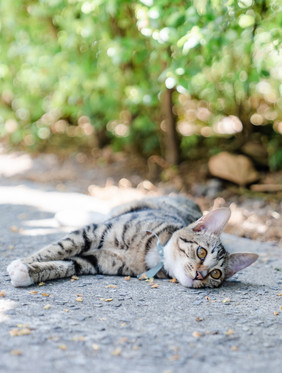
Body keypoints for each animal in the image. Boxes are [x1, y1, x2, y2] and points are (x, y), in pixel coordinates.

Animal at [6, 195, 258, 288]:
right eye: (201, 252)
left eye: (216, 274)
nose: (200, 274)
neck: (153, 255)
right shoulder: (91, 233)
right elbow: (56, 248)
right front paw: (23, 262)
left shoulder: (93, 261)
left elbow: (64, 265)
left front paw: (26, 272)